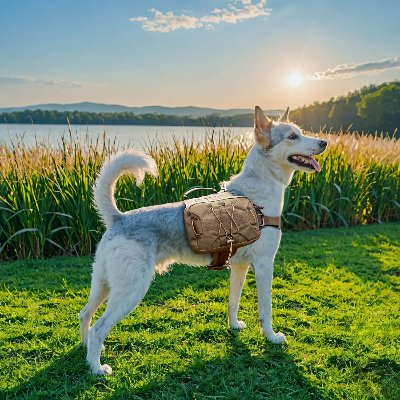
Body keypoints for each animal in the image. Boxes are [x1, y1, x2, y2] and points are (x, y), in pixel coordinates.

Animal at [79, 106, 326, 376]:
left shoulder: (239, 268)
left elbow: (233, 302)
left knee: (85, 315)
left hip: (102, 285)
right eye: (292, 136)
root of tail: (118, 218)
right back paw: (97, 368)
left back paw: (86, 352)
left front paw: (234, 326)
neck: (257, 196)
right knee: (98, 327)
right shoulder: (264, 265)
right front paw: (271, 338)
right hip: (131, 290)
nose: (324, 142)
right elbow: (266, 310)